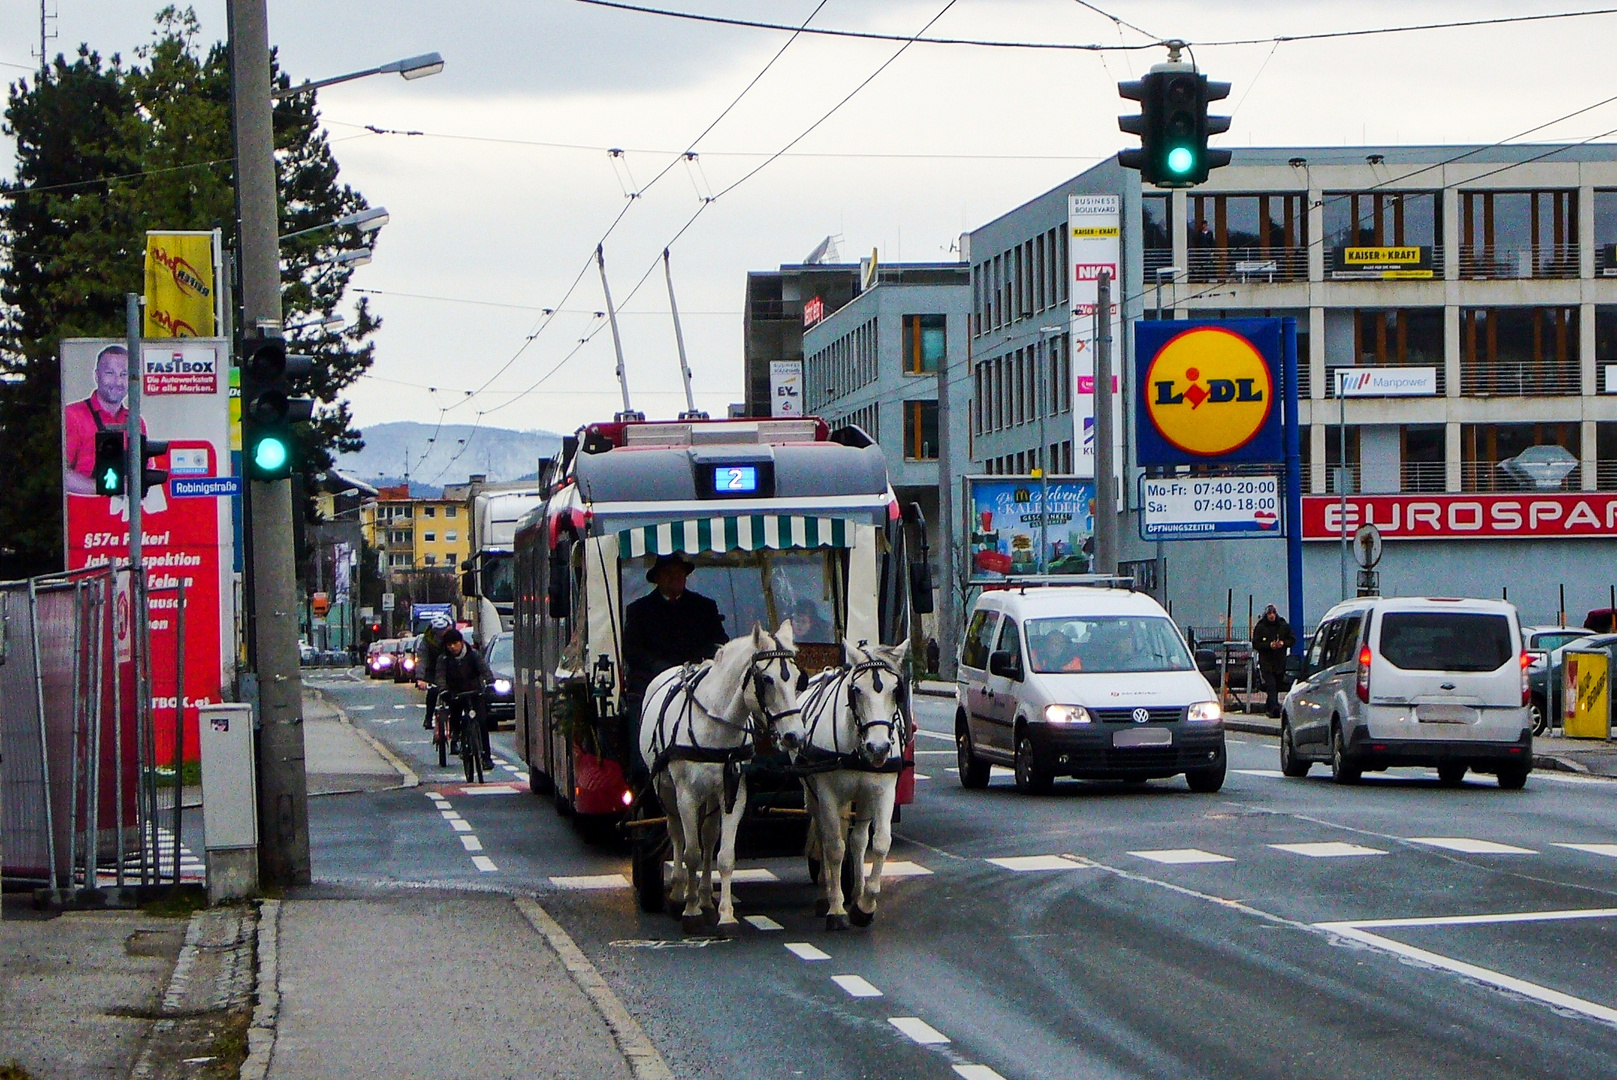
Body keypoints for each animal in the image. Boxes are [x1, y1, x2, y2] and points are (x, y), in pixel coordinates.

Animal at [637, 620, 802, 931]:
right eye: (767, 679)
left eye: (798, 678)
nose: (794, 736)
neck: (716, 723)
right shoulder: (686, 796)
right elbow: (691, 853)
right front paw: (689, 910)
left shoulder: (734, 792)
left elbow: (723, 856)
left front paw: (725, 914)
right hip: (666, 790)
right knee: (676, 834)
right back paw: (679, 893)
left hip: (713, 797)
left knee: (709, 835)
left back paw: (703, 896)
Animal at [798, 637, 911, 931]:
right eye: (857, 690)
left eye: (897, 690)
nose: (879, 748)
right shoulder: (827, 793)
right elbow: (835, 847)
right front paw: (836, 908)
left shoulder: (882, 791)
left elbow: (879, 842)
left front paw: (865, 905)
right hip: (813, 790)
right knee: (825, 836)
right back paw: (826, 894)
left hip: (862, 796)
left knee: (858, 840)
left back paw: (857, 892)